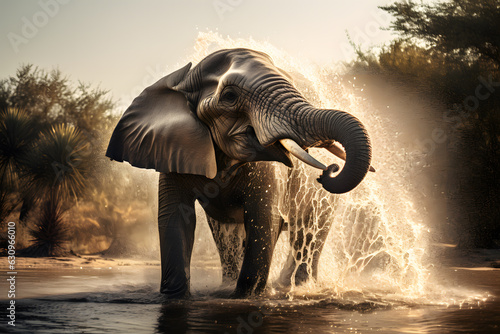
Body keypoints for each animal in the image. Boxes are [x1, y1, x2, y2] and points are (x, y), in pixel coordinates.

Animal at [106, 48, 372, 298]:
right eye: (230, 96)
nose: (330, 170)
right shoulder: (173, 150)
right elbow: (175, 218)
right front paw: (176, 297)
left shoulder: (267, 168)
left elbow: (263, 220)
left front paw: (246, 297)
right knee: (226, 234)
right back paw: (236, 286)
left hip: (324, 202)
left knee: (306, 233)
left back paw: (295, 287)